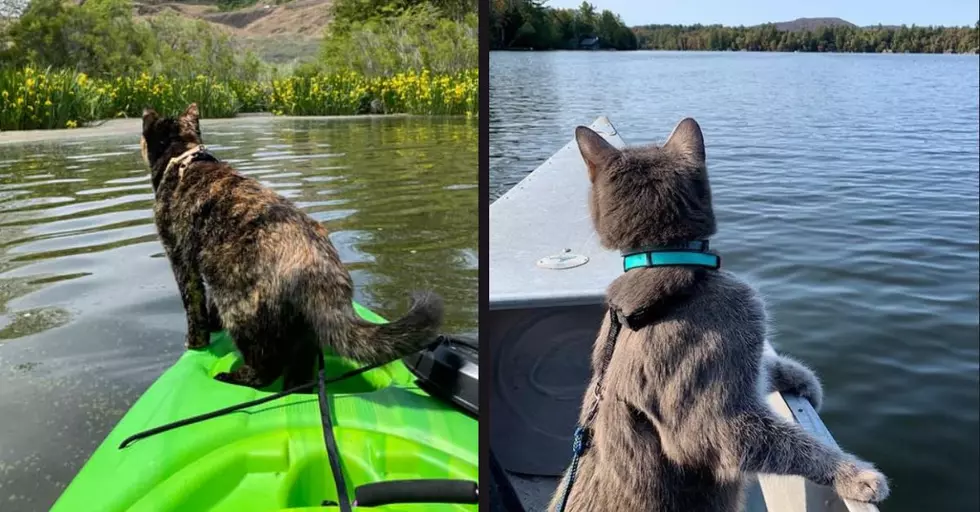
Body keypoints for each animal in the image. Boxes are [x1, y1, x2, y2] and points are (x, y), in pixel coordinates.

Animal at [141, 104, 444, 388]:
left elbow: (194, 308)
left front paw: (196, 342)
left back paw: (234, 377)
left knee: (266, 367)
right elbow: (207, 305)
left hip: (239, 306)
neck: (185, 158)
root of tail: (319, 267)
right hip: (302, 335)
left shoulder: (180, 259)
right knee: (298, 373)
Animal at [552, 119, 888, 512]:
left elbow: (766, 369)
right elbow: (792, 445)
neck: (663, 260)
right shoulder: (715, 421)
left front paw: (804, 380)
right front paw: (854, 475)